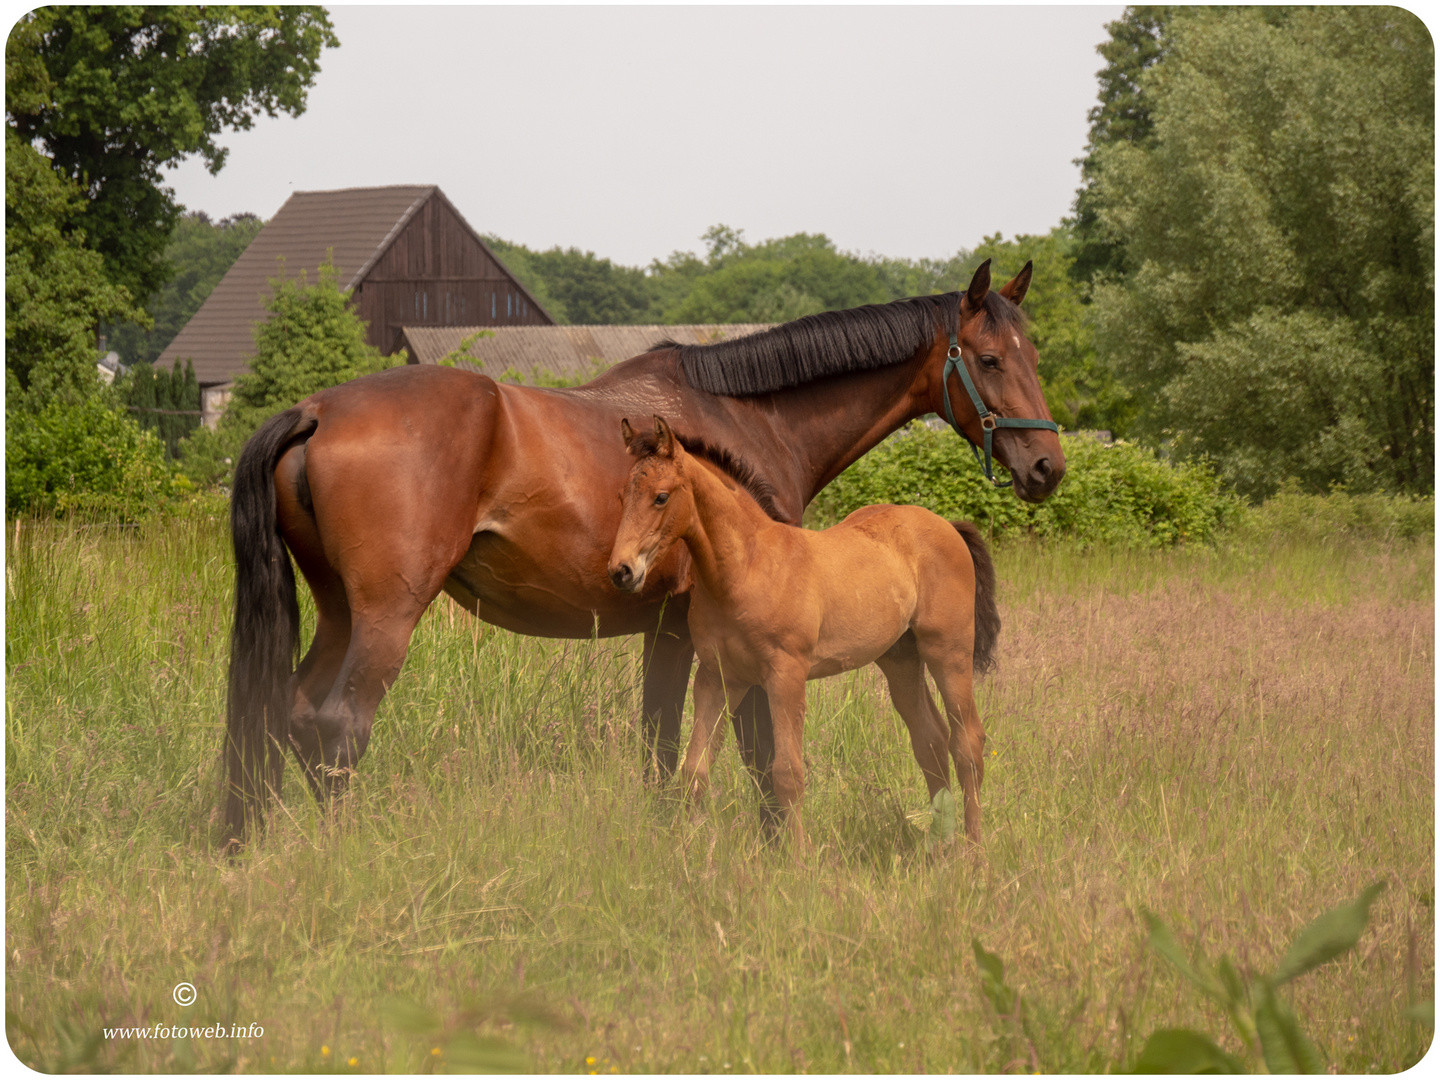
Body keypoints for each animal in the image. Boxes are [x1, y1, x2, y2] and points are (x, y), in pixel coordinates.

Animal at [610, 417, 1002, 852]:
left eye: (661, 497)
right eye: (623, 495)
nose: (622, 571)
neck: (746, 568)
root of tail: (947, 525)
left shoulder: (786, 675)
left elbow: (787, 774)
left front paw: (798, 859)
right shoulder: (718, 677)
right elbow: (694, 770)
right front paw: (687, 850)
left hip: (948, 651)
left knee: (967, 743)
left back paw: (975, 850)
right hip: (901, 658)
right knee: (930, 741)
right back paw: (941, 847)